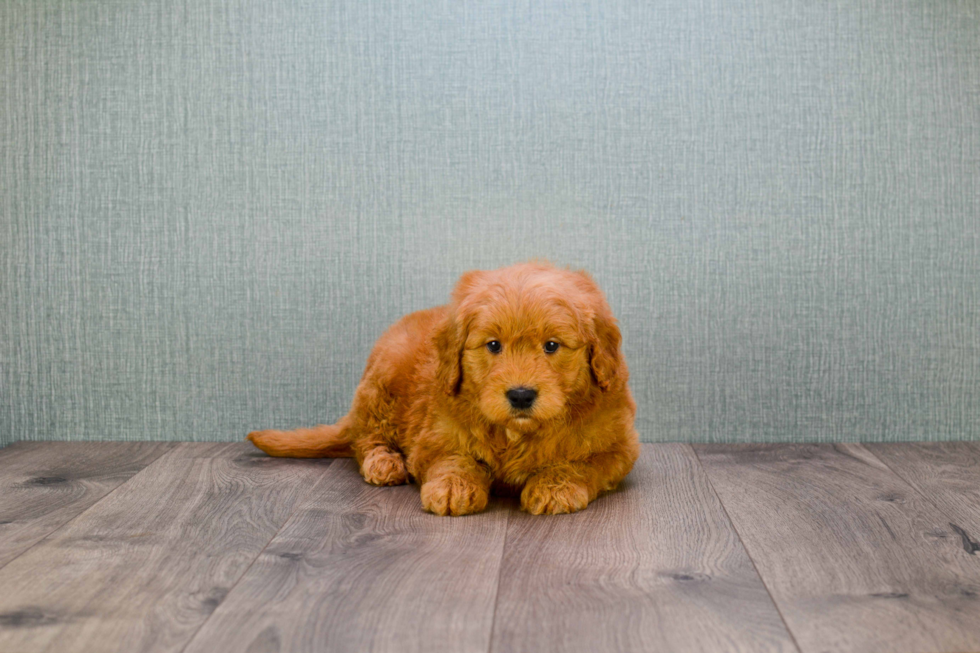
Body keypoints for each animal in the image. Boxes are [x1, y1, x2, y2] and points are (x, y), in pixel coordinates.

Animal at [249, 262, 640, 516]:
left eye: (552, 346)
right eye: (493, 345)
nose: (521, 395)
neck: (517, 433)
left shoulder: (618, 447)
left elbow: (581, 463)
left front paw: (554, 486)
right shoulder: (433, 436)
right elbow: (454, 458)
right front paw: (454, 487)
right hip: (383, 382)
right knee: (365, 438)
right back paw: (384, 462)